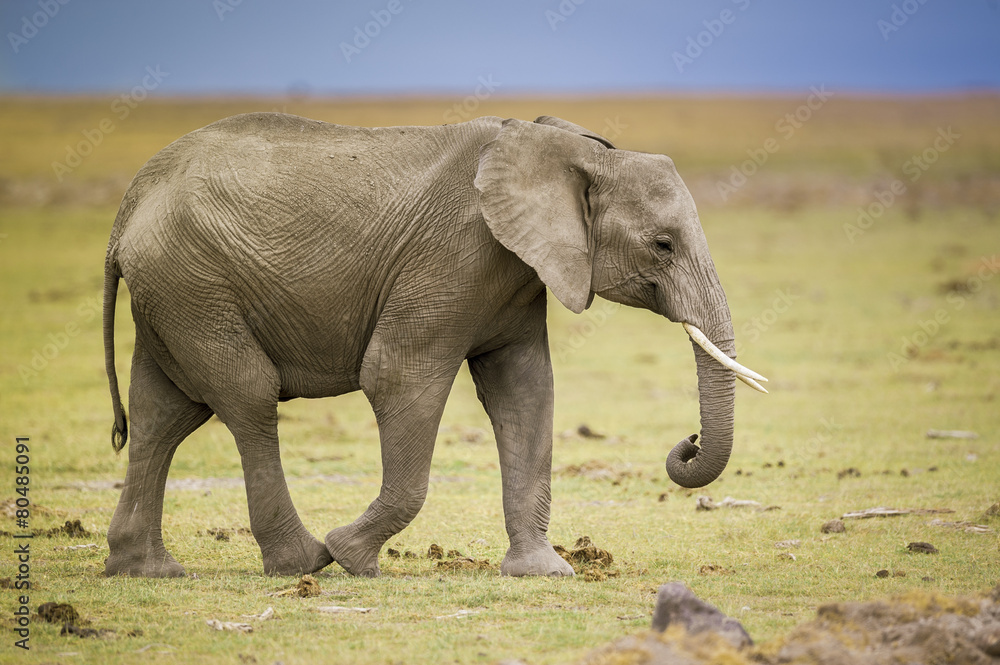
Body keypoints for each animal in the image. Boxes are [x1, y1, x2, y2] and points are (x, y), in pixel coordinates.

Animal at [102, 112, 766, 579]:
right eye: (663, 245)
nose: (688, 441)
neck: (572, 152)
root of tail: (128, 203)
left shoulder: (517, 271)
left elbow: (526, 392)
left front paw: (544, 572)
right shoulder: (454, 256)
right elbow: (397, 375)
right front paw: (352, 557)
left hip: (175, 292)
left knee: (163, 414)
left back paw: (147, 570)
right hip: (193, 282)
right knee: (247, 397)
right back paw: (305, 562)